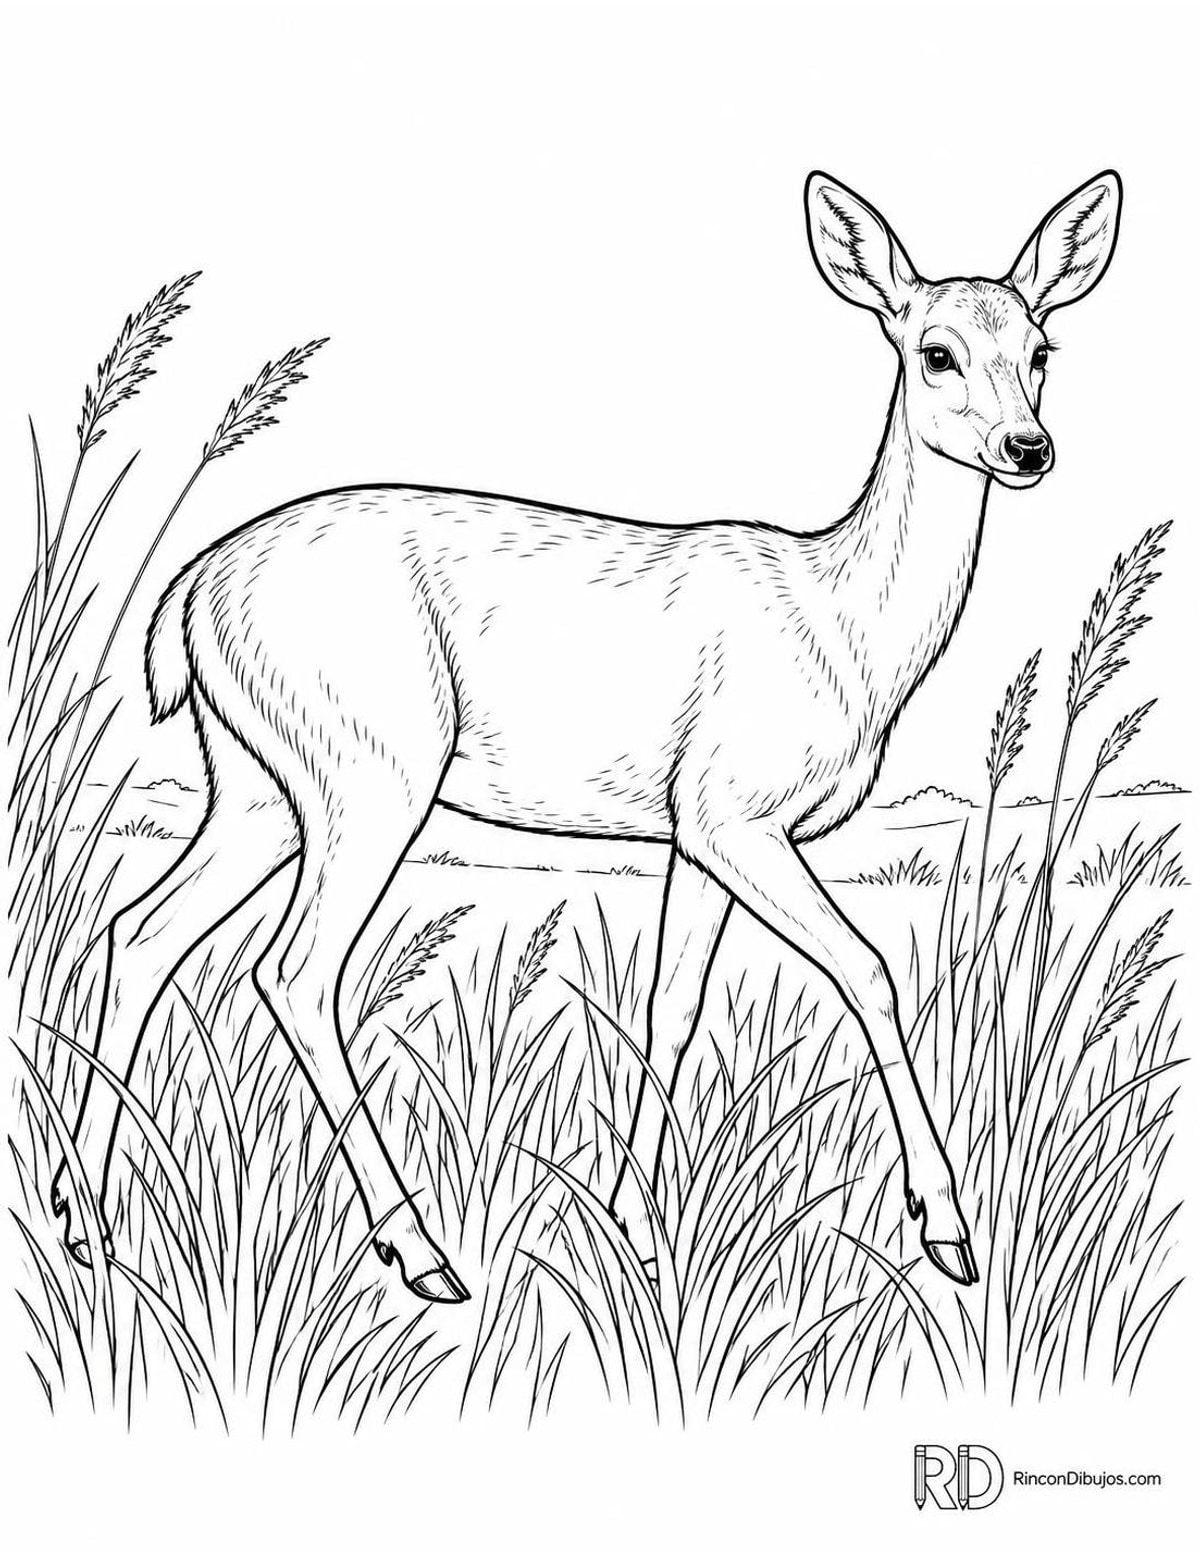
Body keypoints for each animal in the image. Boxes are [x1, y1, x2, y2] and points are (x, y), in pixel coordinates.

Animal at [52, 169, 1121, 1303]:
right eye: (936, 350)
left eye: (1041, 349)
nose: (1028, 448)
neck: (844, 625)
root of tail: (187, 593)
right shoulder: (736, 809)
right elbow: (869, 966)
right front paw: (947, 1232)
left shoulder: (691, 832)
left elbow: (669, 1007)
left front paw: (630, 1229)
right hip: (368, 768)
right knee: (294, 971)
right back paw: (421, 1253)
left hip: (259, 785)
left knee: (143, 930)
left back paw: (84, 1220)